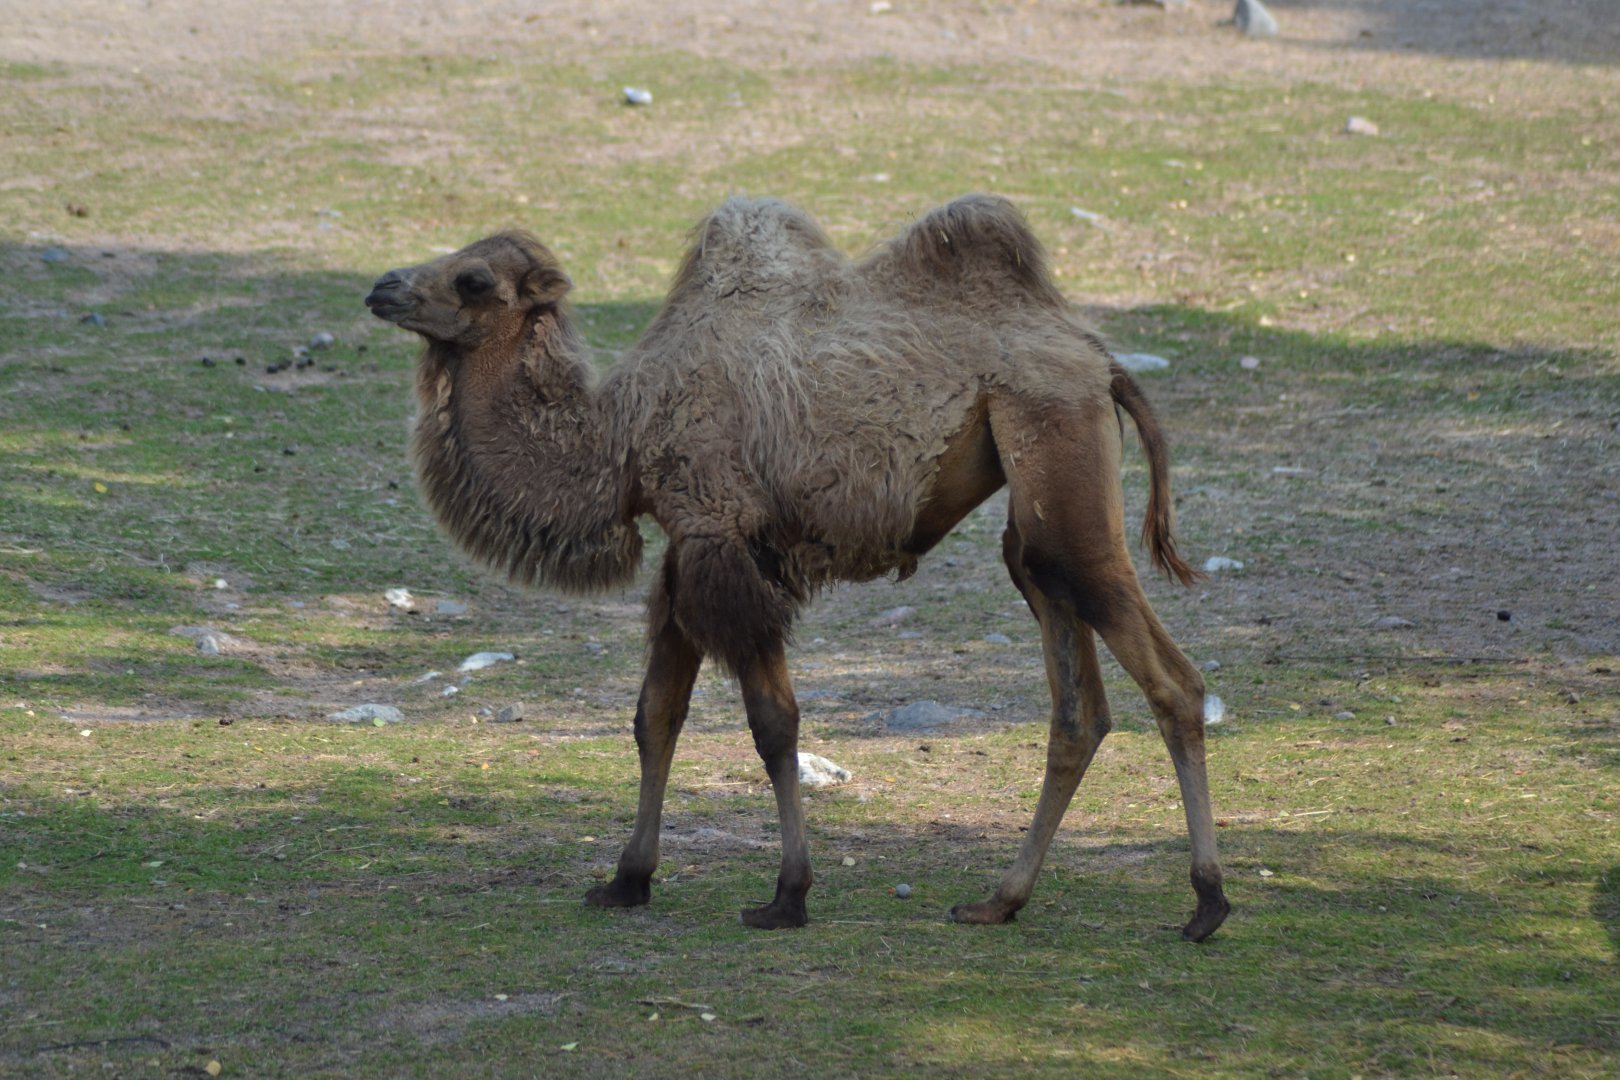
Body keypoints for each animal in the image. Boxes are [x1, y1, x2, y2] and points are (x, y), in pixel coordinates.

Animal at [364, 194, 1230, 941]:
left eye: (473, 279)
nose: (382, 286)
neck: (621, 441)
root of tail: (1101, 361)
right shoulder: (687, 551)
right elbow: (655, 716)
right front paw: (626, 879)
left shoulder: (718, 537)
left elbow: (771, 724)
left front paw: (787, 894)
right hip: (1033, 520)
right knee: (1078, 705)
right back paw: (999, 900)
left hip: (1058, 456)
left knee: (1172, 680)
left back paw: (1207, 904)